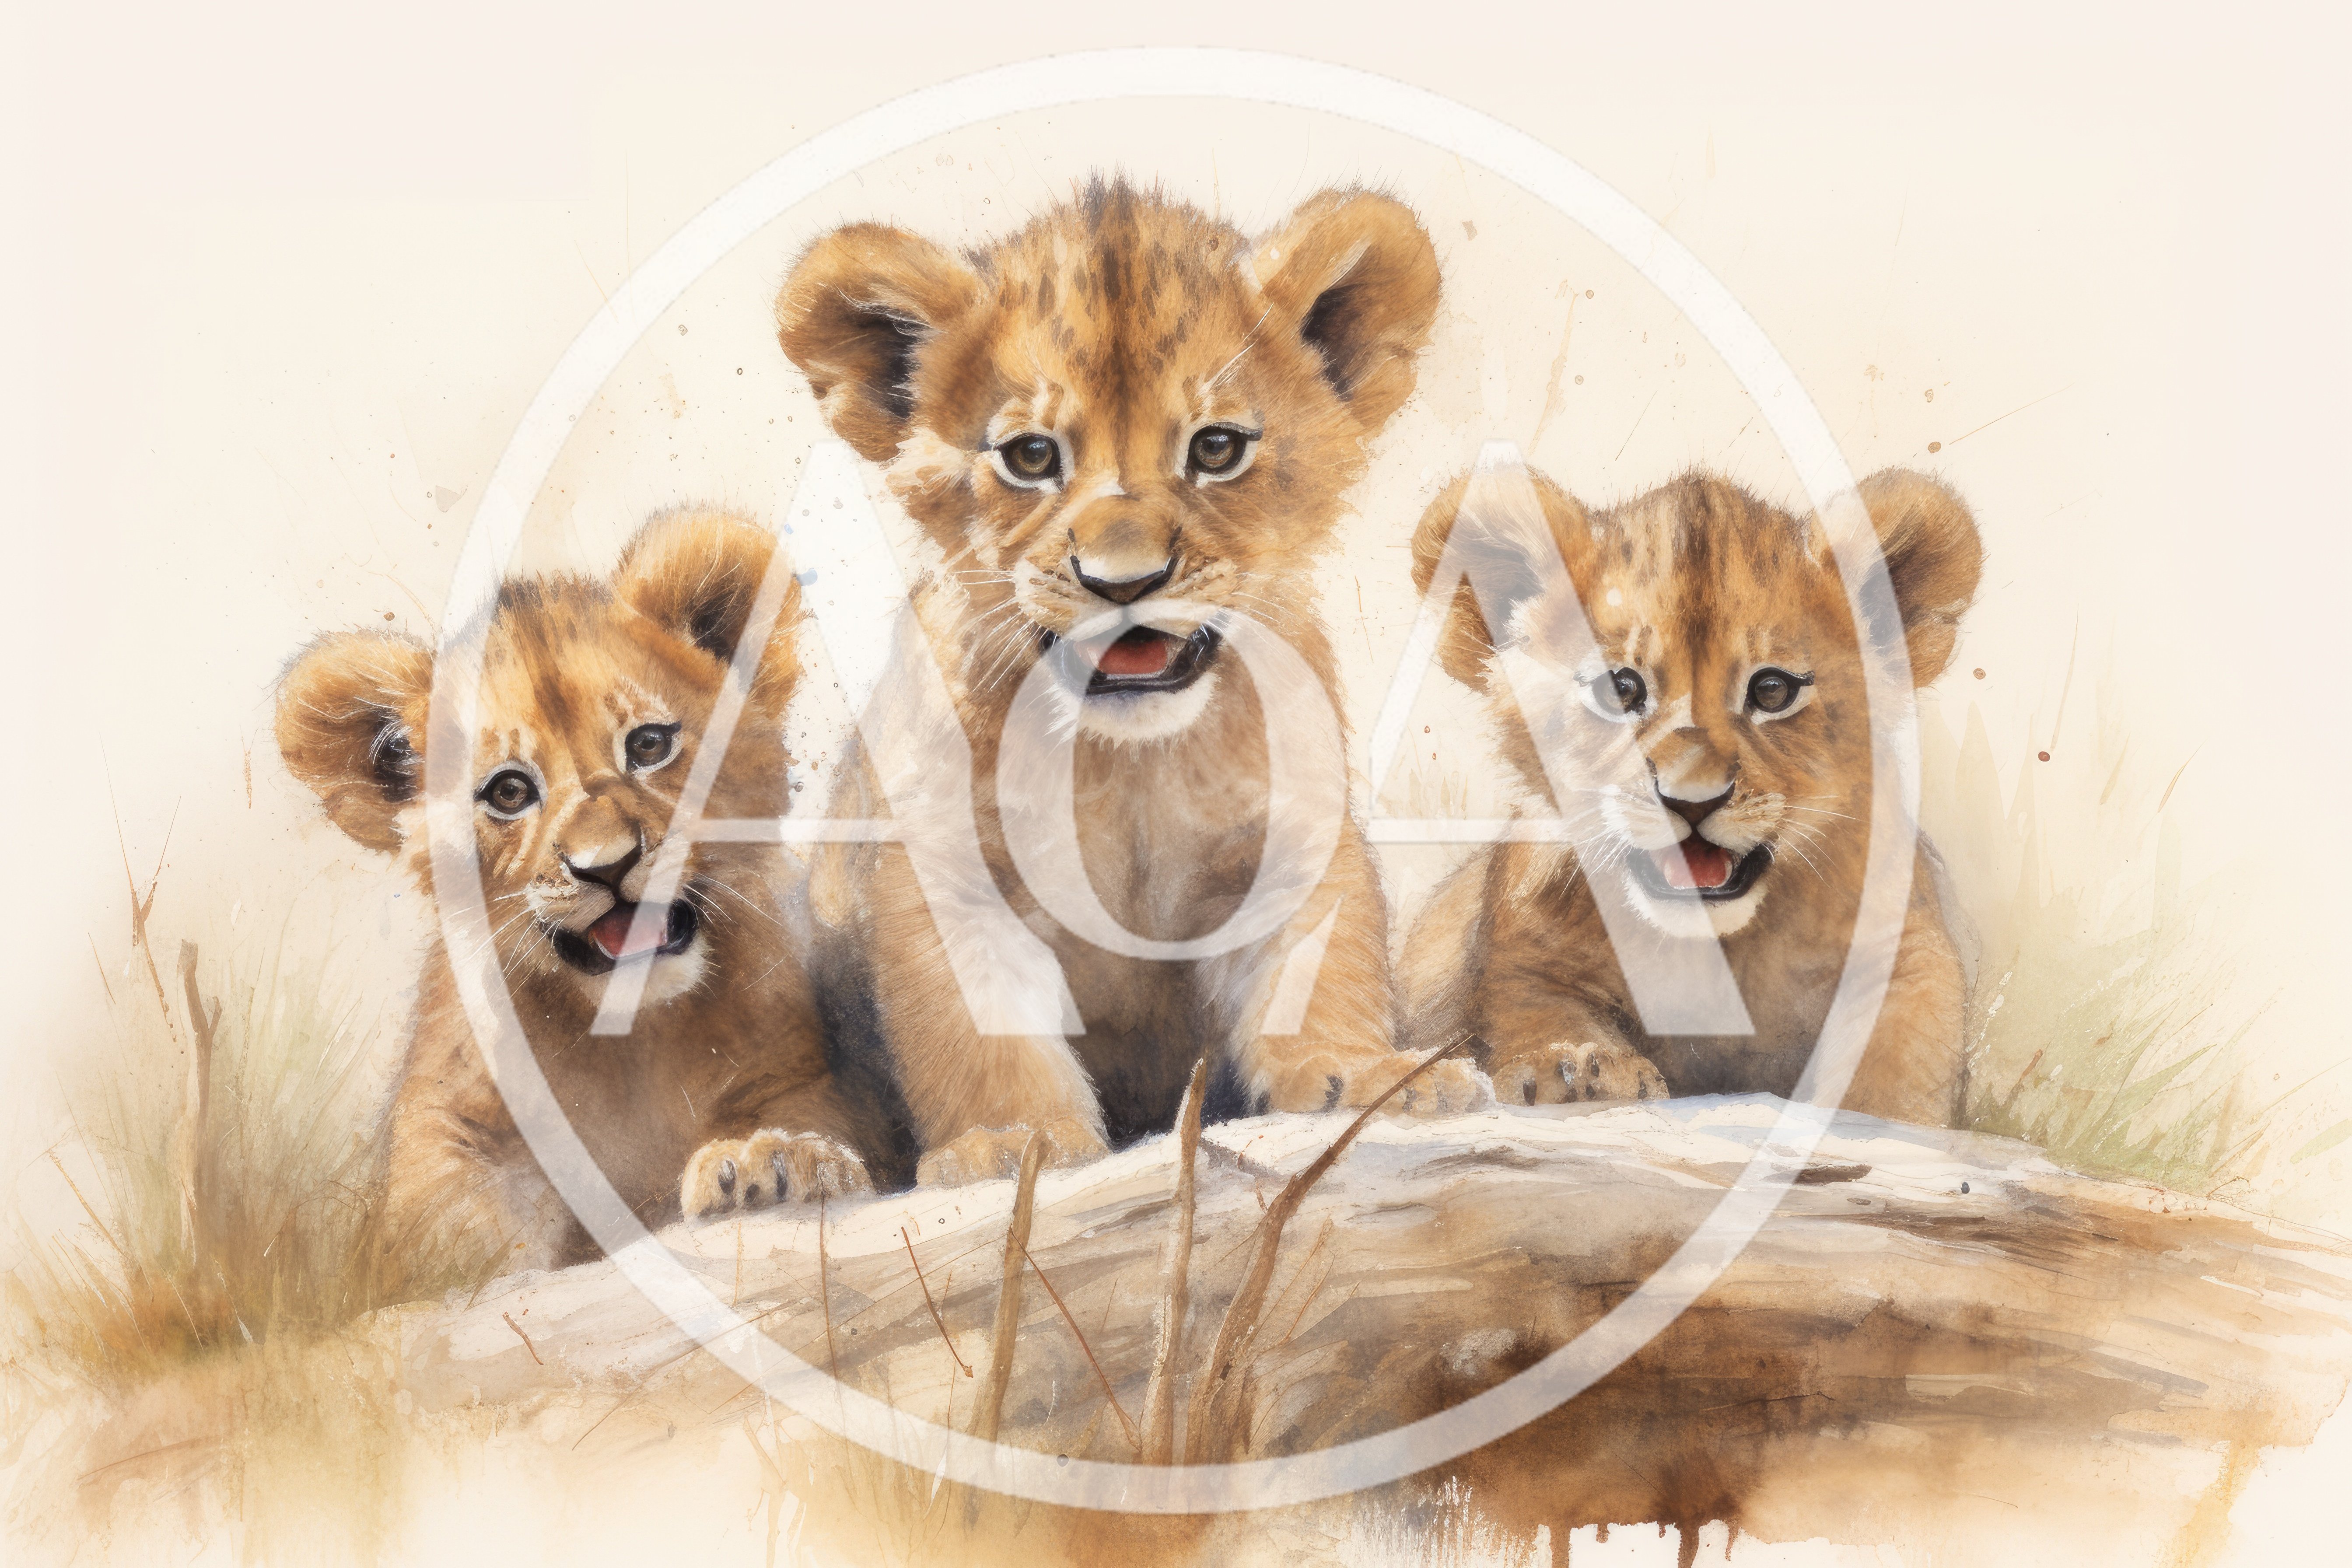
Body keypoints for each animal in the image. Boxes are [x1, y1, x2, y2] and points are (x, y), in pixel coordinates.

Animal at [275, 510, 880, 1271]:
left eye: (649, 746)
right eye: (508, 792)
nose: (606, 866)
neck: (632, 1043)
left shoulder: (803, 1077)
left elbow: (806, 1125)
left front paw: (772, 1164)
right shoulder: (449, 1136)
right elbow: (449, 1236)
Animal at [775, 178, 1489, 1185]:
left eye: (1217, 448)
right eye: (1032, 457)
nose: (1125, 582)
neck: (1131, 764)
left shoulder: (1291, 839)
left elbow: (1320, 965)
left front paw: (1369, 1075)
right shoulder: (947, 871)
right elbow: (976, 1026)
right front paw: (1009, 1140)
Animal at [1398, 464, 1983, 1126]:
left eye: (1773, 691)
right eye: (1620, 689)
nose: (1692, 800)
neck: (1714, 950)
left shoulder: (1906, 954)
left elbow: (1890, 1061)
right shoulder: (1521, 954)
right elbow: (1538, 1006)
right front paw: (1579, 1067)